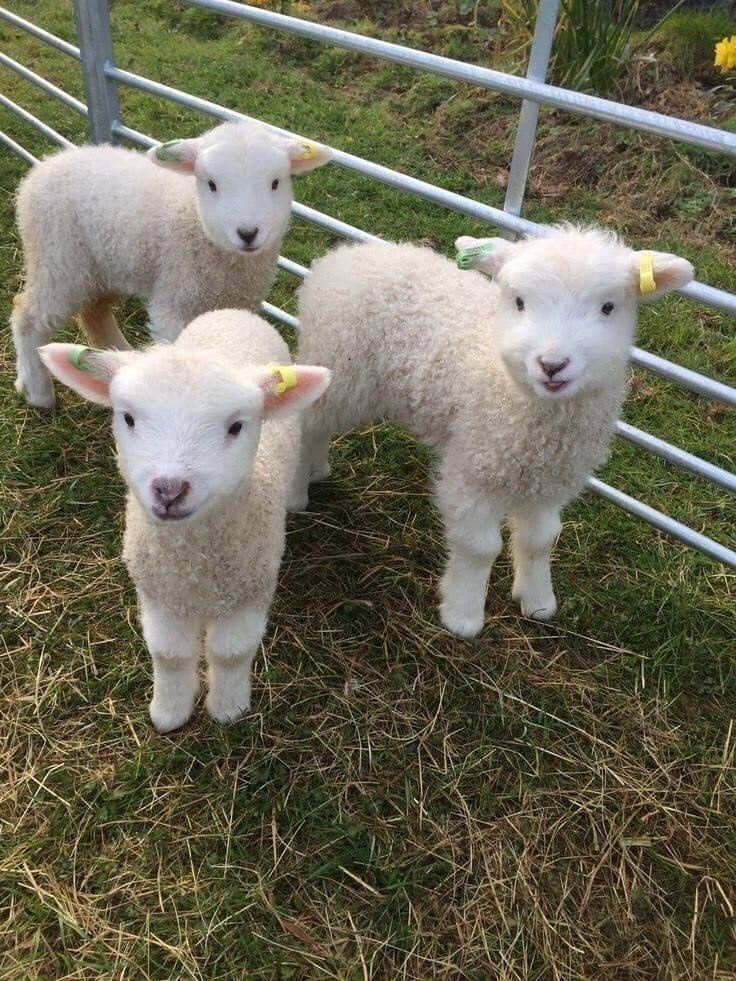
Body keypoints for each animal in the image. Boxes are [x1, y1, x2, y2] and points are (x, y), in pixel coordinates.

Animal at [12, 121, 330, 410]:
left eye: (276, 182)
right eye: (212, 184)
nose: (248, 233)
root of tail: (47, 165)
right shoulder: (175, 301)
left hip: (103, 265)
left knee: (94, 312)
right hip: (58, 260)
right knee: (27, 315)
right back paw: (37, 390)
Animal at [37, 310, 330, 732]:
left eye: (236, 426)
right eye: (128, 418)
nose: (169, 490)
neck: (194, 563)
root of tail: (232, 312)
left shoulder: (250, 589)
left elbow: (231, 653)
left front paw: (228, 709)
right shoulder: (159, 593)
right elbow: (169, 654)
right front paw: (169, 713)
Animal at [294, 225, 696, 636]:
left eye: (608, 307)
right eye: (519, 302)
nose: (552, 365)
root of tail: (343, 255)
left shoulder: (550, 481)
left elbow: (540, 540)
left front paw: (538, 601)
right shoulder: (474, 468)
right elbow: (479, 547)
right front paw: (463, 615)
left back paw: (317, 469)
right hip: (338, 370)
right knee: (305, 425)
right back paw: (296, 492)